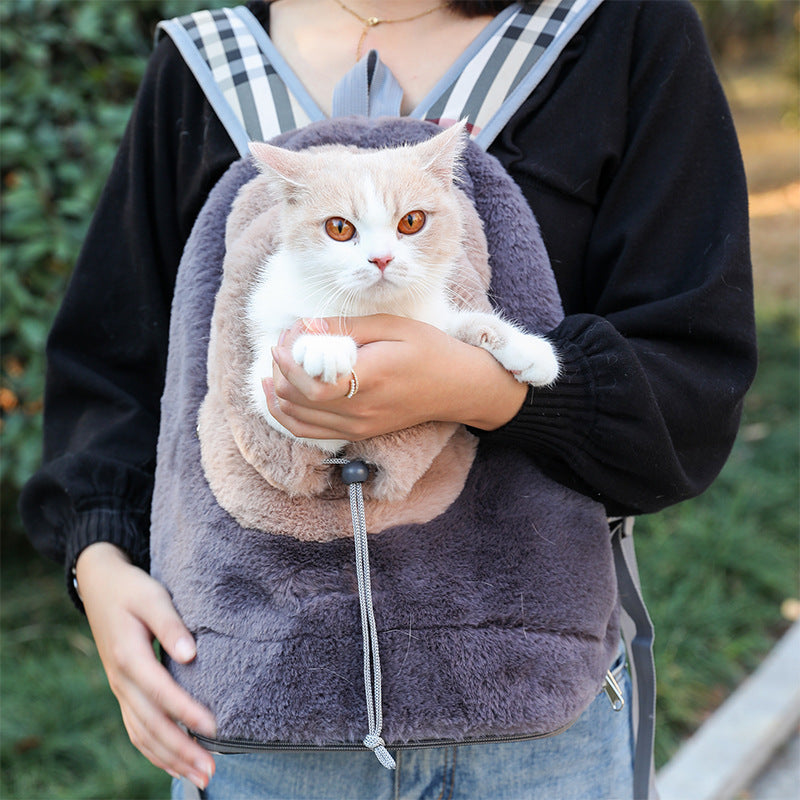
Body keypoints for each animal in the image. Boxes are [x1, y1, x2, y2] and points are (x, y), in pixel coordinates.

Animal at [247, 122, 560, 454]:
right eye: (339, 228)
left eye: (411, 221)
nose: (381, 258)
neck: (380, 308)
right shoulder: (275, 394)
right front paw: (324, 345)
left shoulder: (430, 319)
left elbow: (460, 325)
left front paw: (524, 346)